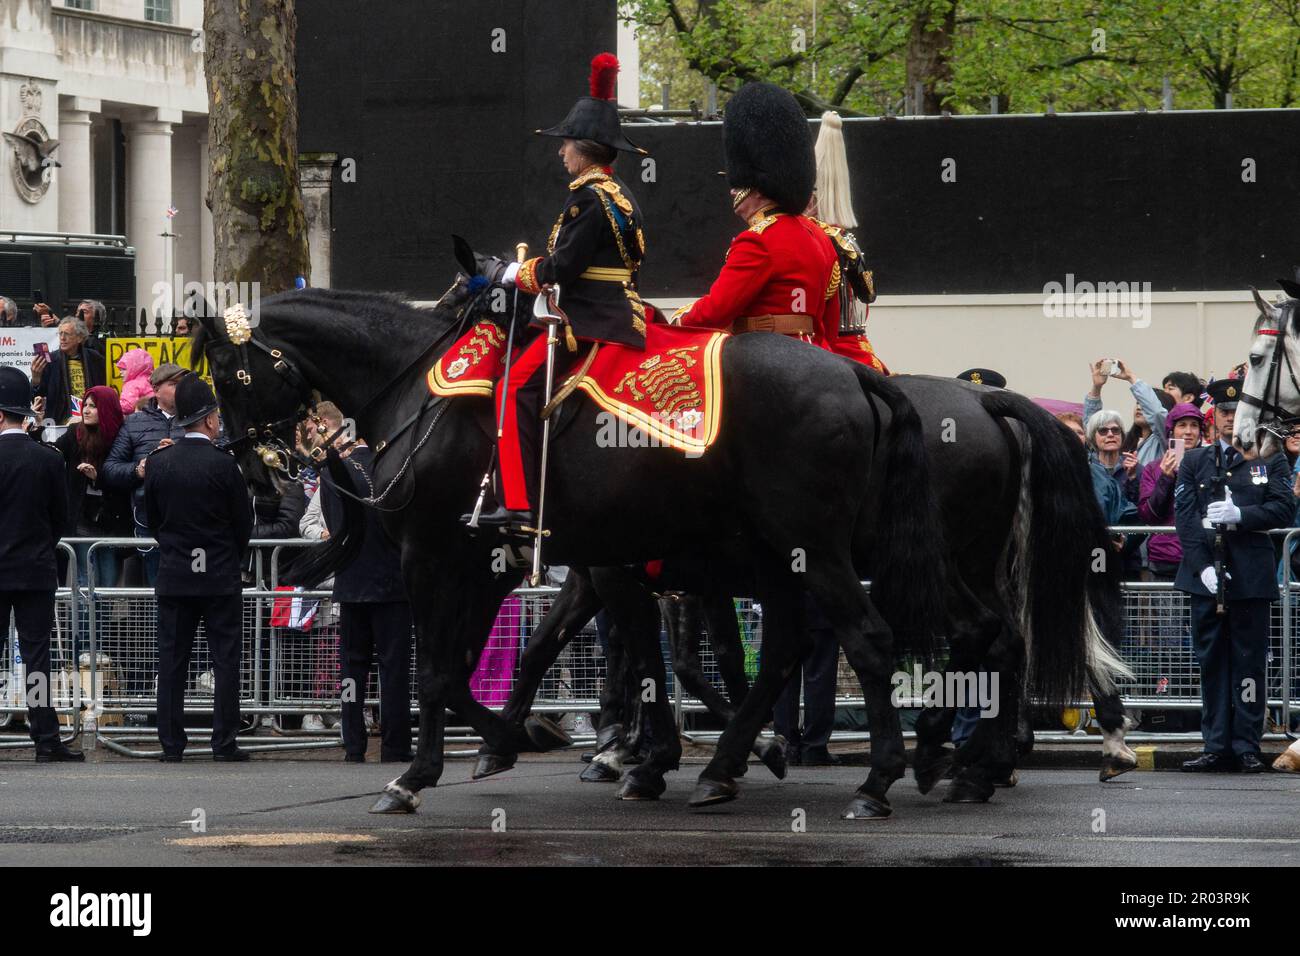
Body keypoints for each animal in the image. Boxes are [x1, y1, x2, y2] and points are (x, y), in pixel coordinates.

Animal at [192, 273, 946, 816]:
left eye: (227, 375)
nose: (254, 474)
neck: (420, 392)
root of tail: (852, 373)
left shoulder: (436, 558)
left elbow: (442, 669)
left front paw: (433, 768)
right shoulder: (505, 566)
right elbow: (500, 661)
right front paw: (522, 742)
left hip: (811, 549)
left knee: (867, 641)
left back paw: (873, 781)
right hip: (779, 557)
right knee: (787, 648)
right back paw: (731, 763)